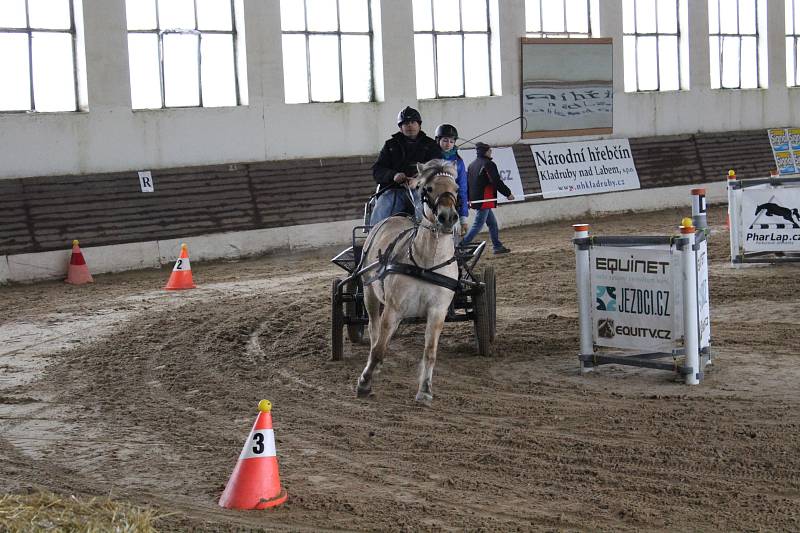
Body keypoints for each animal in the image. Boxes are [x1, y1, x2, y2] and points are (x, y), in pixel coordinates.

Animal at [354, 158, 460, 404]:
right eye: (427, 188)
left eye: (457, 189)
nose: (448, 217)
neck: (427, 264)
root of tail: (394, 216)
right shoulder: (394, 308)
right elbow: (379, 349)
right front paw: (364, 383)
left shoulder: (438, 311)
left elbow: (430, 353)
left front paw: (425, 390)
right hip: (369, 292)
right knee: (374, 330)